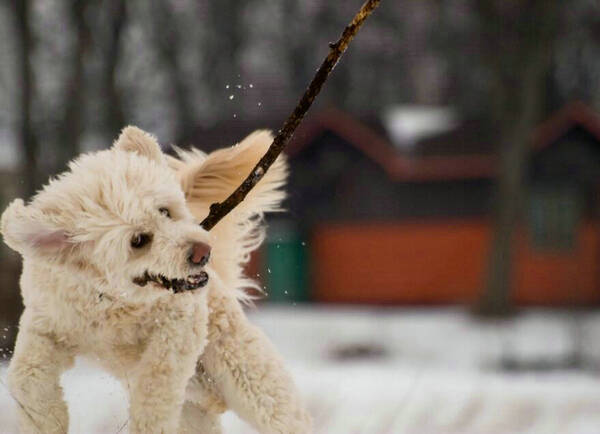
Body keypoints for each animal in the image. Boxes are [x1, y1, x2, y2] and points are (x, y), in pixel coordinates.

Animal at [3, 127, 314, 432]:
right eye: (138, 240)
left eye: (165, 211)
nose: (202, 252)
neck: (111, 300)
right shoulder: (45, 322)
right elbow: (25, 377)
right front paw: (47, 419)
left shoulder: (179, 322)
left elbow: (156, 383)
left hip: (246, 374)